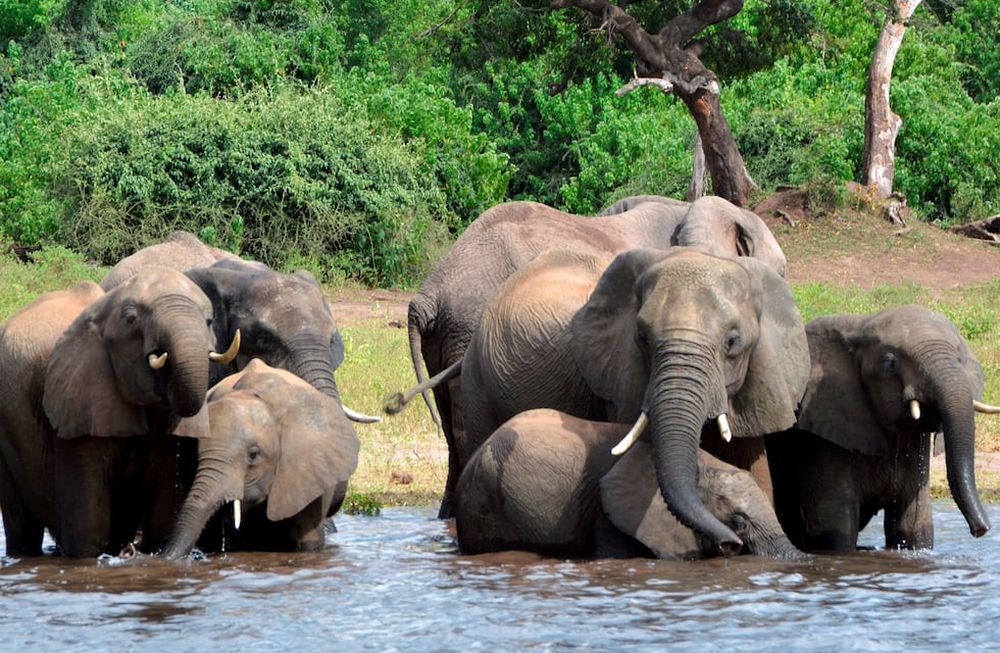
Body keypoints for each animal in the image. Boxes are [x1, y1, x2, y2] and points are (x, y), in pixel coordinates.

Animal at [0, 268, 240, 557]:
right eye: (131, 320)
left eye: (208, 321)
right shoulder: (78, 400)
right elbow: (88, 527)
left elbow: (163, 513)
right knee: (21, 525)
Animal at [765, 305, 998, 552]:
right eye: (889, 363)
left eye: (960, 359)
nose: (980, 530)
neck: (860, 324)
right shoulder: (822, 433)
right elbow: (835, 529)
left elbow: (914, 526)